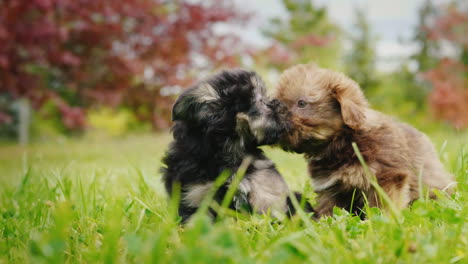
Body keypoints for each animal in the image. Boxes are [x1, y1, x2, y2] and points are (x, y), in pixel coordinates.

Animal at [276, 63, 456, 217]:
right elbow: (329, 209)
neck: (343, 142)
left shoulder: (387, 178)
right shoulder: (330, 188)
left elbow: (383, 207)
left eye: (301, 103)